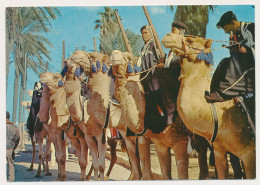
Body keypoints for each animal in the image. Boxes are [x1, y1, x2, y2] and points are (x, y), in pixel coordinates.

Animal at [62, 51, 147, 181]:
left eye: (92, 56)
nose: (73, 55)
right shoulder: (88, 136)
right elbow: (94, 163)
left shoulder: (100, 135)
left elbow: (99, 164)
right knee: (118, 159)